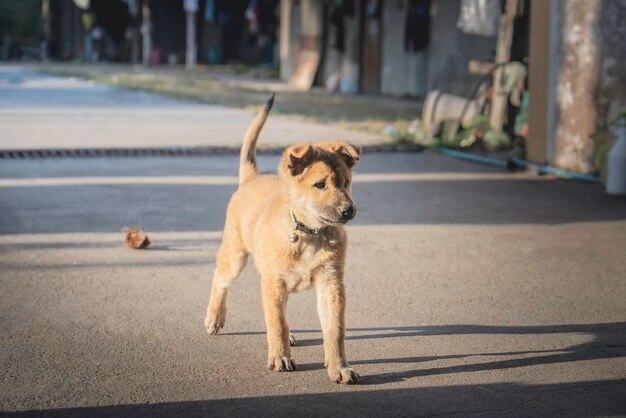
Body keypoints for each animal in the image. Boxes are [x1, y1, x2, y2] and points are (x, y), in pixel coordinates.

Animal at [204, 95, 358, 386]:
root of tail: (251, 179)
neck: (308, 234)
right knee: (220, 280)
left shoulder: (331, 285)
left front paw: (339, 367)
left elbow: (335, 330)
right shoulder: (273, 282)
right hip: (235, 257)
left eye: (346, 182)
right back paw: (214, 318)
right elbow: (276, 323)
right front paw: (280, 358)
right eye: (320, 185)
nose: (349, 211)